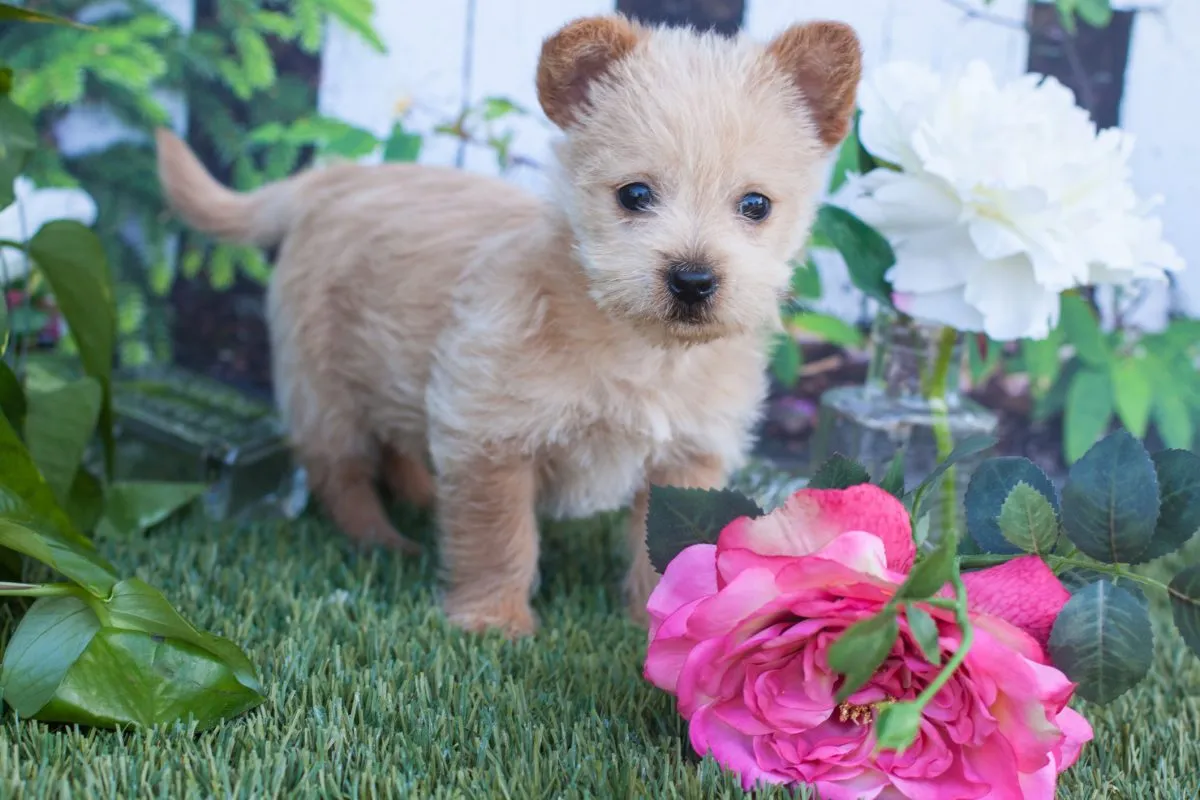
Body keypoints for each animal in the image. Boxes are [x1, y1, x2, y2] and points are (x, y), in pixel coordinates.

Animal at [157, 14, 864, 638]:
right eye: (634, 195)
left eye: (756, 205)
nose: (693, 280)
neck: (637, 349)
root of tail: (328, 180)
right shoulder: (490, 436)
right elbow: (498, 536)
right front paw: (493, 620)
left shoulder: (687, 459)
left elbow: (670, 552)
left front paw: (661, 621)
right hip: (325, 393)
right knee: (343, 475)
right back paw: (384, 539)